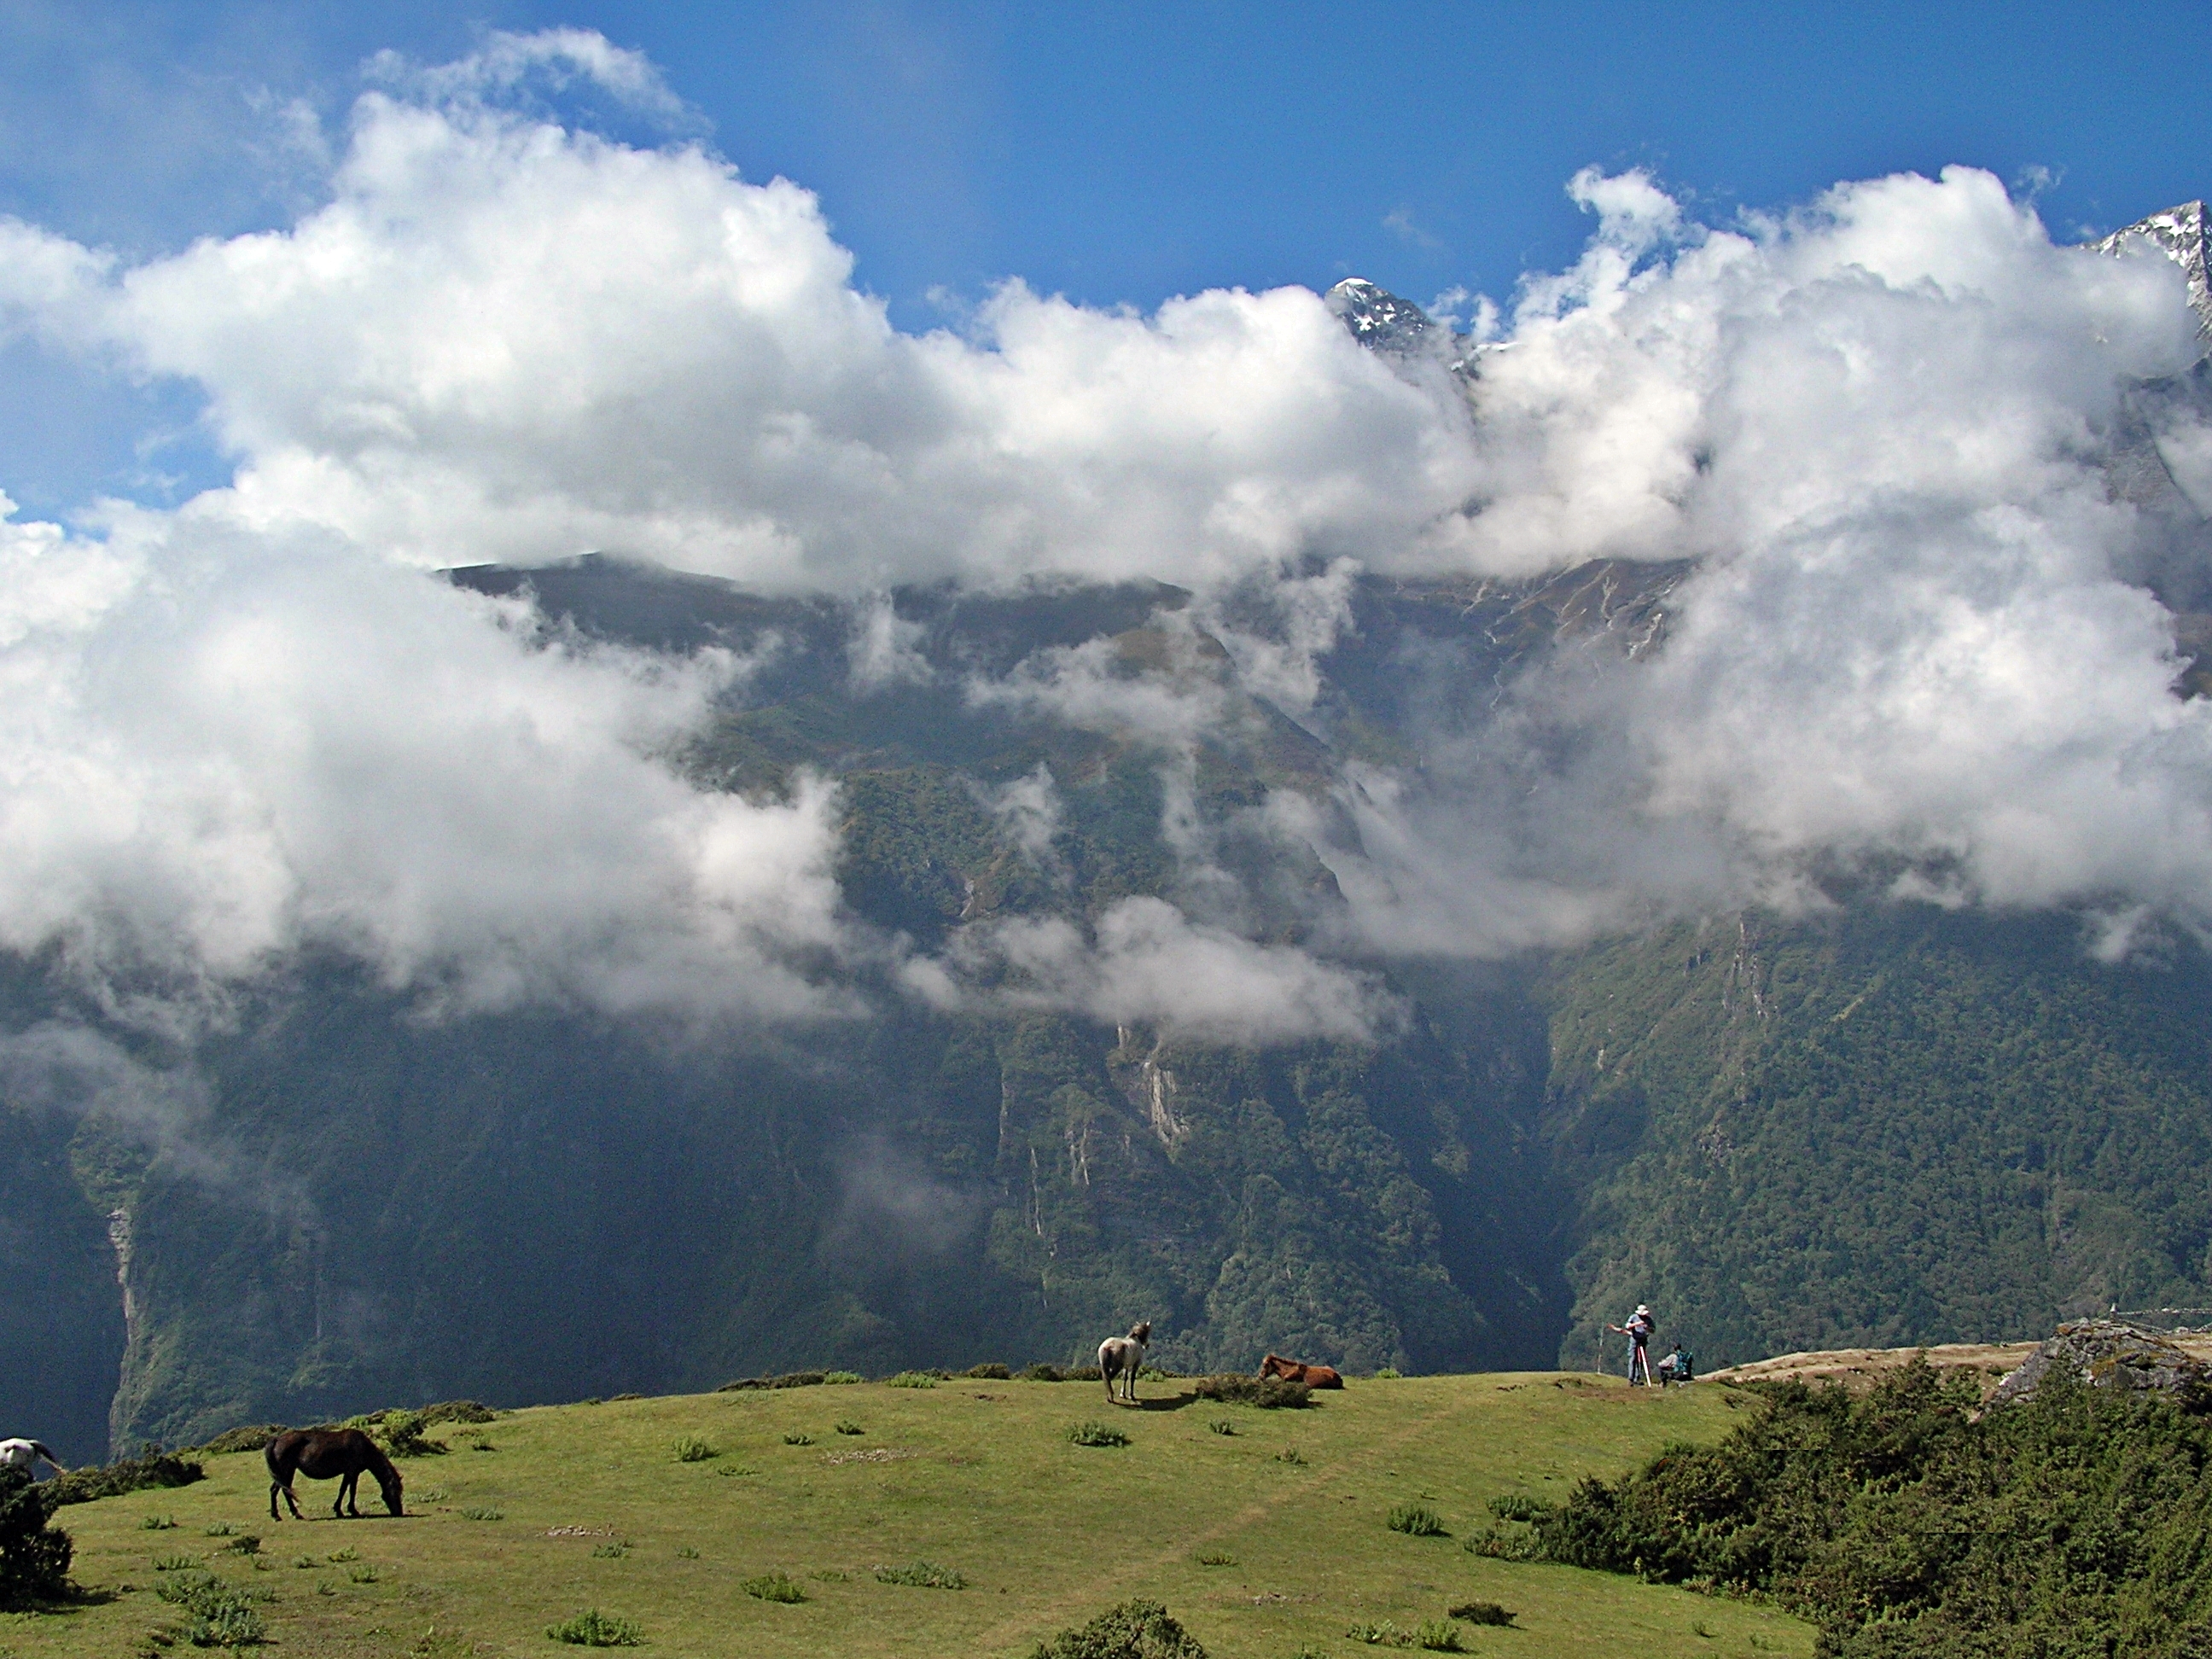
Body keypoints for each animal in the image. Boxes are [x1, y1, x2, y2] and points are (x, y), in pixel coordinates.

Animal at [266, 1429, 404, 1521]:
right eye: (395, 1491)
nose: (399, 1512)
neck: (363, 1447)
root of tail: (277, 1439)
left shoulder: (352, 1473)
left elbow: (348, 1490)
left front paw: (344, 1510)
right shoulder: (351, 1472)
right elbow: (347, 1490)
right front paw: (347, 1510)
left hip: (287, 1471)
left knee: (279, 1490)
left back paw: (283, 1515)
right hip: (285, 1471)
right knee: (281, 1490)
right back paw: (286, 1515)